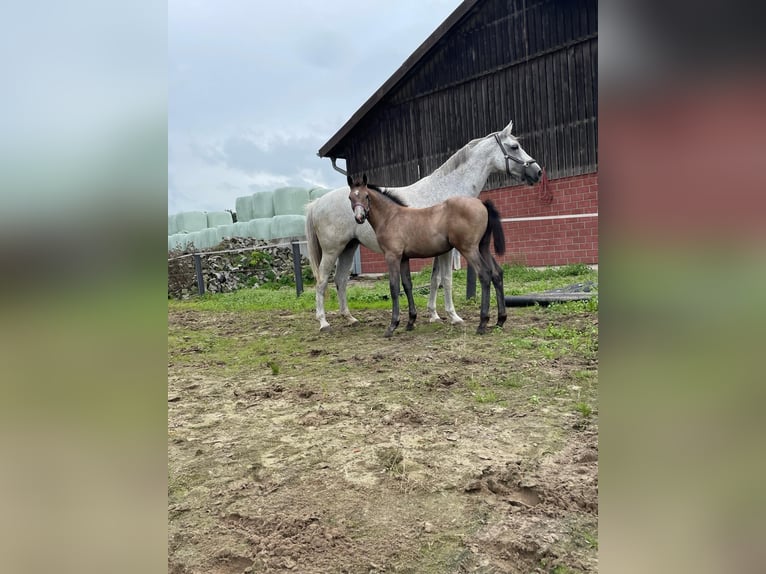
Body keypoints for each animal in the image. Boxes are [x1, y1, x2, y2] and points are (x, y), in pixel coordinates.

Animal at [304, 122, 544, 338]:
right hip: (332, 250)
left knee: (341, 280)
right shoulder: (447, 251)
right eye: (514, 147)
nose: (538, 171)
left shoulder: (437, 250)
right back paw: (323, 322)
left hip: (349, 247)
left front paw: (433, 315)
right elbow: (444, 279)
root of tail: (316, 203)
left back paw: (350, 318)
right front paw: (452, 316)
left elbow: (435, 280)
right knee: (322, 281)